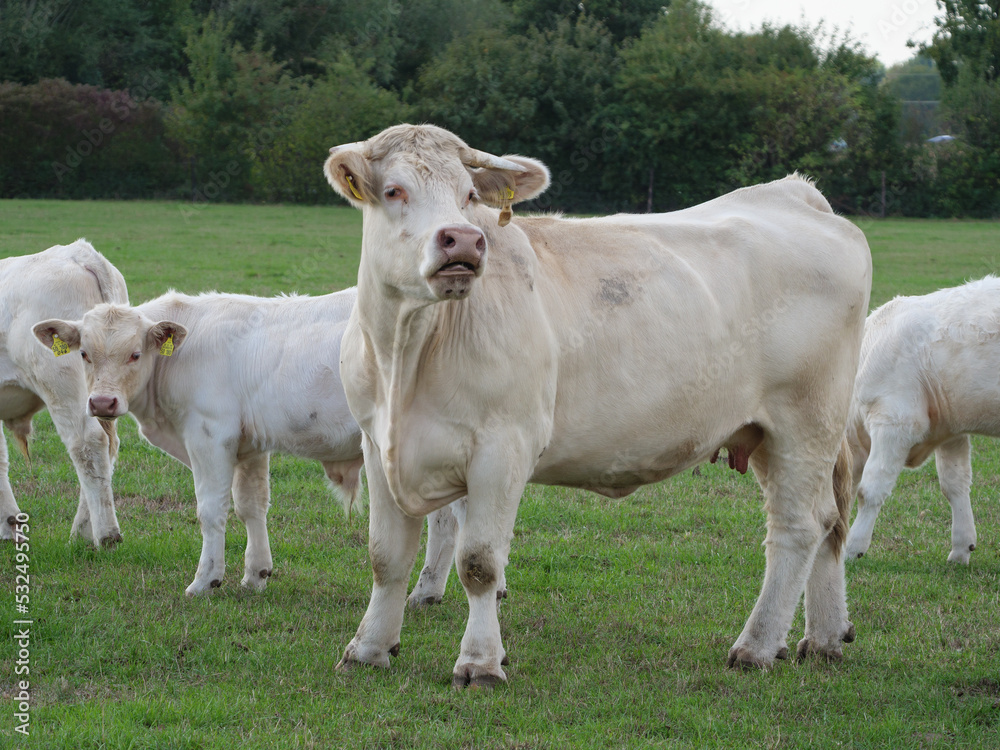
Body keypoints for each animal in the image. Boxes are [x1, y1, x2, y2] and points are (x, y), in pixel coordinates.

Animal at [0, 241, 128, 548]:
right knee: (108, 446)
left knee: (87, 443)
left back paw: (105, 535)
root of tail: (79, 253)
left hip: (61, 385)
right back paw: (83, 531)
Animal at [324, 122, 872, 688]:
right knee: (828, 520)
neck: (406, 353)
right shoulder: (377, 444)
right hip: (766, 433)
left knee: (797, 528)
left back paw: (757, 646)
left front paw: (479, 662)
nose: (465, 240)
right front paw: (368, 648)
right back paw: (823, 638)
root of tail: (792, 192)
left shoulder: (504, 447)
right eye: (394, 191)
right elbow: (386, 558)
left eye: (469, 194)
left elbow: (479, 563)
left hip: (804, 423)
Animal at [848, 280, 1000, 568]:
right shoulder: (951, 430)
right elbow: (955, 484)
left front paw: (852, 548)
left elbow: (870, 488)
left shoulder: (895, 421)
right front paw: (961, 548)